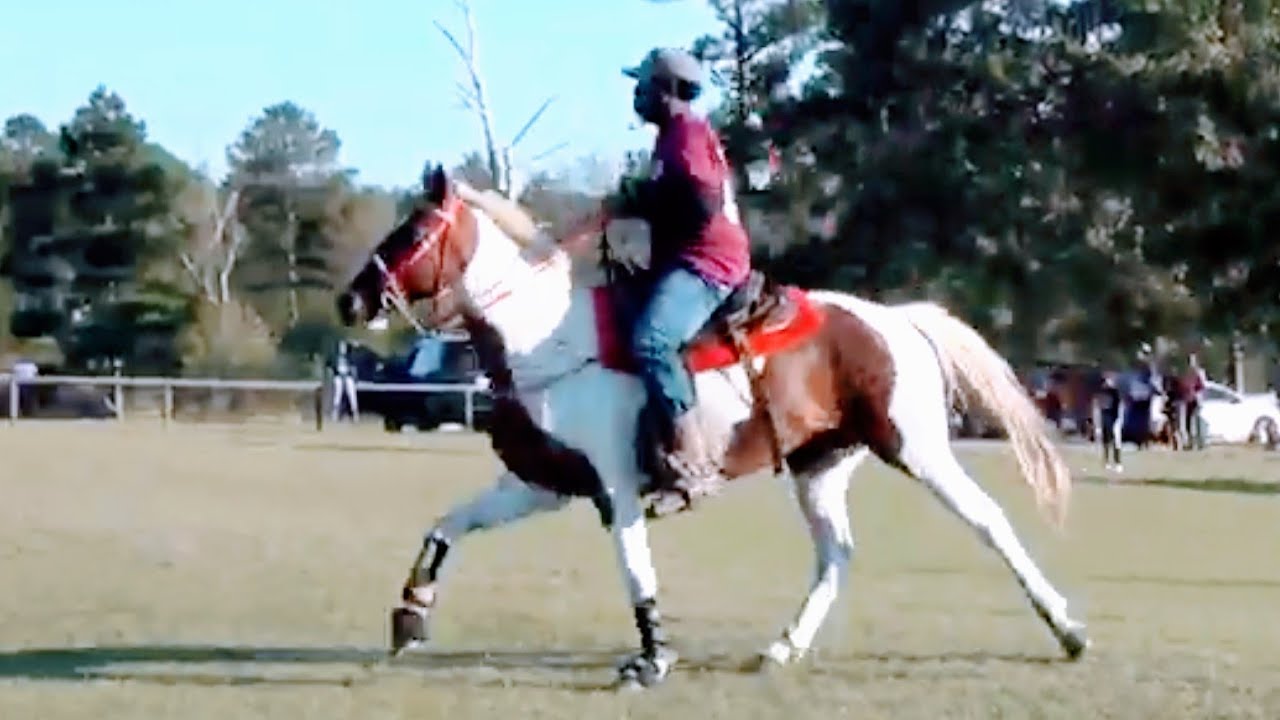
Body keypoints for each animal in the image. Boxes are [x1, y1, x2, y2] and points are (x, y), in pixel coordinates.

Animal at [335, 164, 1089, 689]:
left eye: (412, 232)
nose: (351, 301)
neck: (546, 340)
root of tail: (896, 319)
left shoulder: (614, 485)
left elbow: (635, 569)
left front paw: (651, 660)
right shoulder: (541, 483)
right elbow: (448, 525)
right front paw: (411, 613)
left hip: (918, 448)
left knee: (989, 521)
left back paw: (1070, 630)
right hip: (820, 465)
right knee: (836, 554)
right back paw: (784, 646)